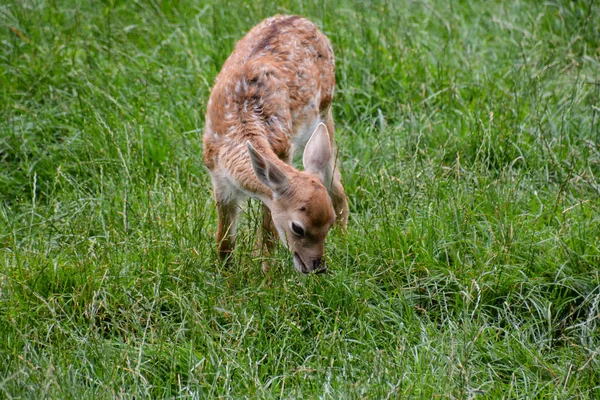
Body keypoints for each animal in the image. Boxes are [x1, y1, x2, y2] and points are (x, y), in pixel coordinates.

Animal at [204, 14, 350, 272]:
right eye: (298, 227)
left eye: (328, 223)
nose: (318, 266)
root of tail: (299, 17)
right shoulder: (218, 179)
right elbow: (224, 242)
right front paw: (225, 274)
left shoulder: (282, 155)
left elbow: (268, 235)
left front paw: (267, 275)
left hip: (326, 107)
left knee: (337, 185)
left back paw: (345, 240)